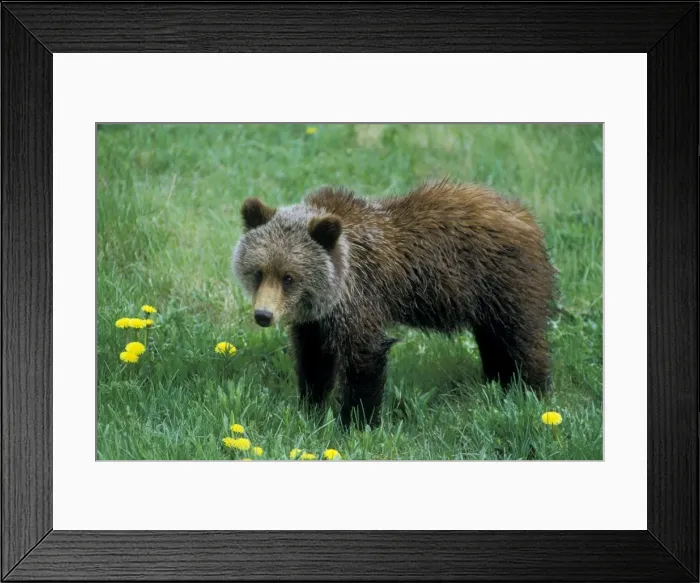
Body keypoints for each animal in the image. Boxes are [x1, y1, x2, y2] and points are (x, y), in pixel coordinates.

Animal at [232, 180, 556, 428]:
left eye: (289, 277)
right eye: (259, 271)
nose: (263, 315)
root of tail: (525, 215)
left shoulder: (361, 297)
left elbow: (365, 359)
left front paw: (356, 423)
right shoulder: (316, 320)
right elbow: (314, 359)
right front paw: (311, 408)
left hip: (505, 282)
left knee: (521, 339)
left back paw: (531, 393)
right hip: (484, 301)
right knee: (493, 341)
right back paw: (497, 382)